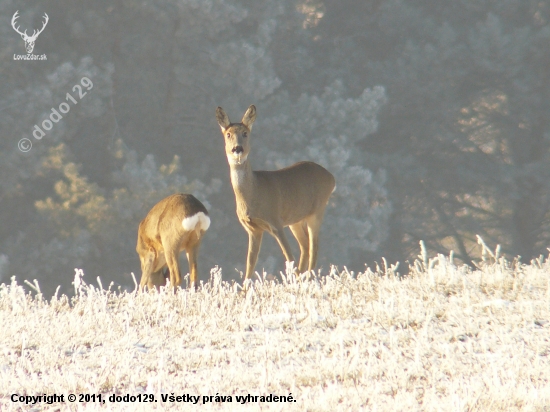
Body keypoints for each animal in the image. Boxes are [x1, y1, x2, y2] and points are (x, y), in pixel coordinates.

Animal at [216, 105, 336, 284]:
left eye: (245, 133)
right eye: (228, 134)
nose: (237, 149)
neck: (253, 193)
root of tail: (332, 178)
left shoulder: (275, 222)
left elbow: (288, 257)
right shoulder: (252, 229)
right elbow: (249, 265)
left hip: (317, 210)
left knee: (313, 247)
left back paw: (309, 280)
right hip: (295, 219)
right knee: (305, 246)